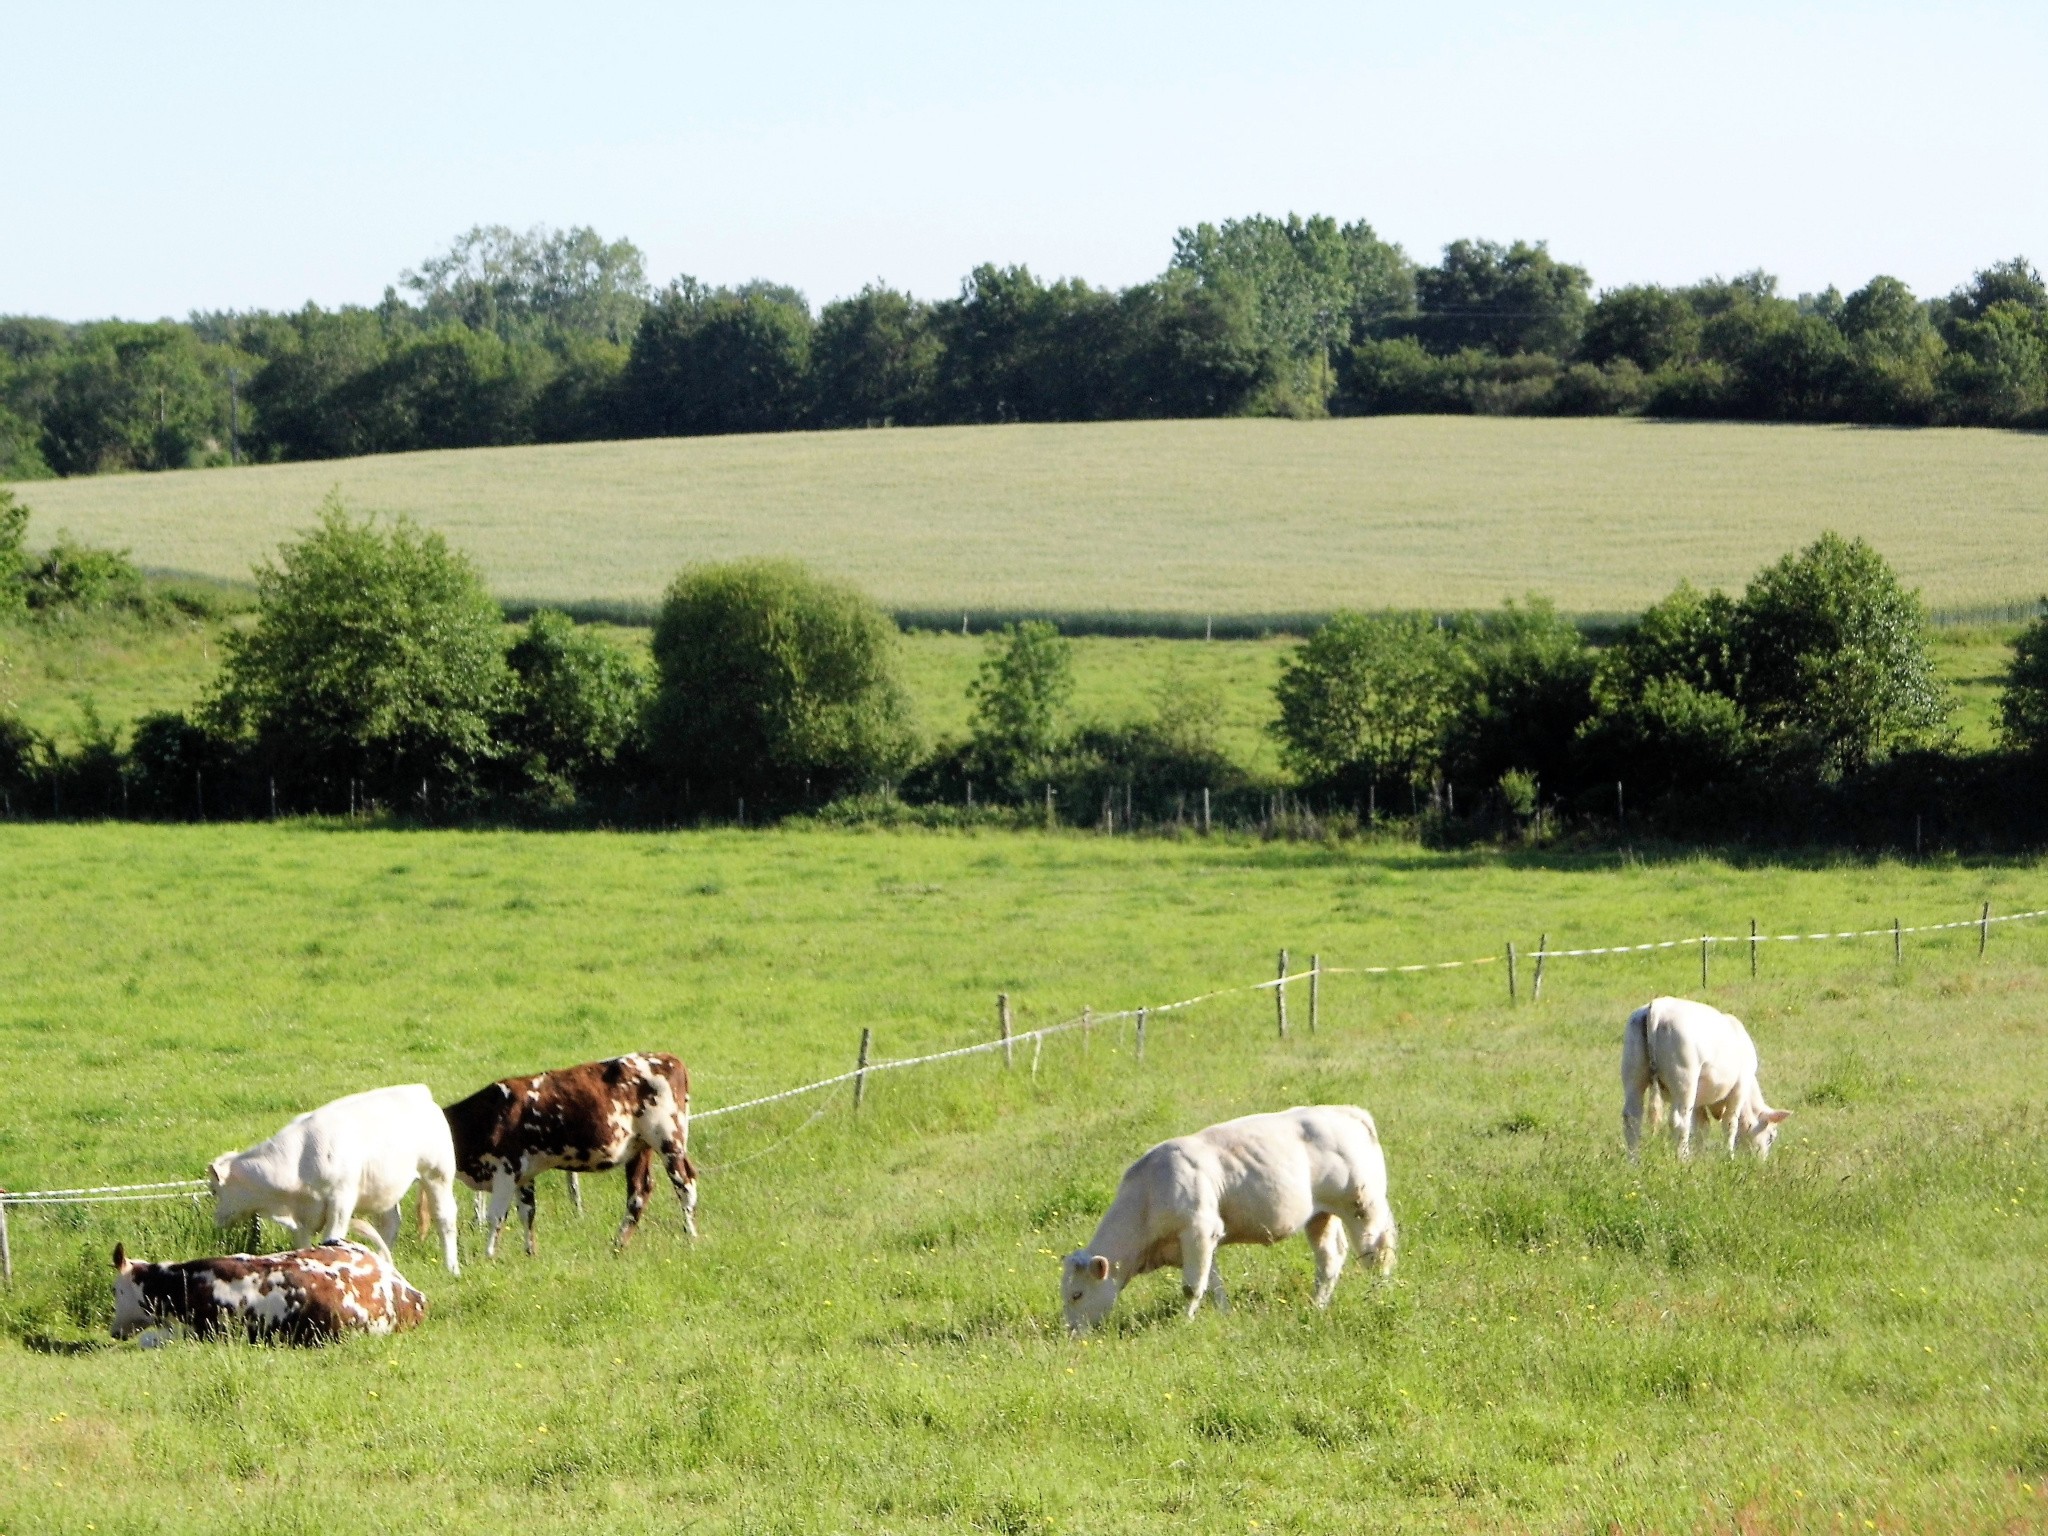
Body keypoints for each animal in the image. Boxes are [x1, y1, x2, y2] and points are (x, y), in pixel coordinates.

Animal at [208, 1081, 464, 1277]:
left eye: (214, 1191)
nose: (217, 1219)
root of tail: (417, 1091)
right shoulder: (301, 1218)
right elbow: (303, 1247)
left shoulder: (340, 1202)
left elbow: (332, 1239)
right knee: (389, 1225)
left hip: (437, 1175)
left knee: (445, 1220)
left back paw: (451, 1267)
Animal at [444, 1056, 700, 1261]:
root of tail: (669, 1059)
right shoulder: (524, 1174)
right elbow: (527, 1213)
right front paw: (530, 1253)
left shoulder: (506, 1169)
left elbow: (496, 1216)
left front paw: (488, 1255)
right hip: (640, 1146)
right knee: (639, 1191)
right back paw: (618, 1245)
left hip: (669, 1140)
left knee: (684, 1184)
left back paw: (691, 1236)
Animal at [1064, 1105, 1400, 1335]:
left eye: (1077, 1294)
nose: (1071, 1333)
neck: (1149, 1191)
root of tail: (1347, 1111)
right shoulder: (1201, 1242)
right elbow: (1213, 1283)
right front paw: (1224, 1314)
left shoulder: (1198, 1231)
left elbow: (1192, 1287)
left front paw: (1186, 1322)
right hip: (1320, 1215)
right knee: (1330, 1259)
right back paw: (1318, 1305)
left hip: (1361, 1207)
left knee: (1377, 1253)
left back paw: (1378, 1297)